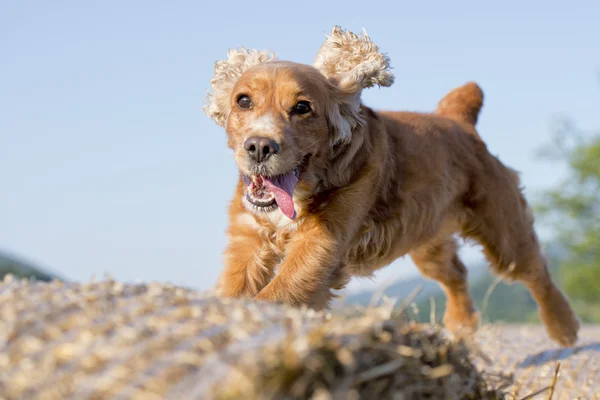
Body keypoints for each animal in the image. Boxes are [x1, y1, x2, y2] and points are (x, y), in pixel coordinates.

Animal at [204, 27, 580, 346]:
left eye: (302, 107)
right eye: (243, 100)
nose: (259, 146)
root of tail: (458, 121)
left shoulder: (320, 243)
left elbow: (278, 293)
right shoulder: (247, 240)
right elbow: (236, 289)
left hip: (503, 232)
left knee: (538, 271)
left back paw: (564, 328)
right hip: (425, 240)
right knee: (457, 271)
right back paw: (460, 324)